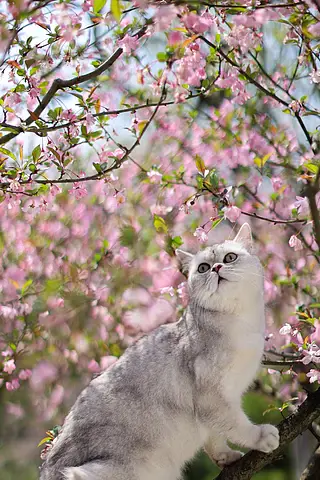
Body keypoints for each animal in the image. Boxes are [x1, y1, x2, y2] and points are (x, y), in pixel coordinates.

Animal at [38, 224, 278, 480]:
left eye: (230, 257)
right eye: (203, 268)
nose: (216, 268)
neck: (242, 324)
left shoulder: (220, 403)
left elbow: (215, 438)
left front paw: (226, 457)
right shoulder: (212, 398)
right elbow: (235, 425)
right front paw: (260, 437)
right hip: (105, 471)